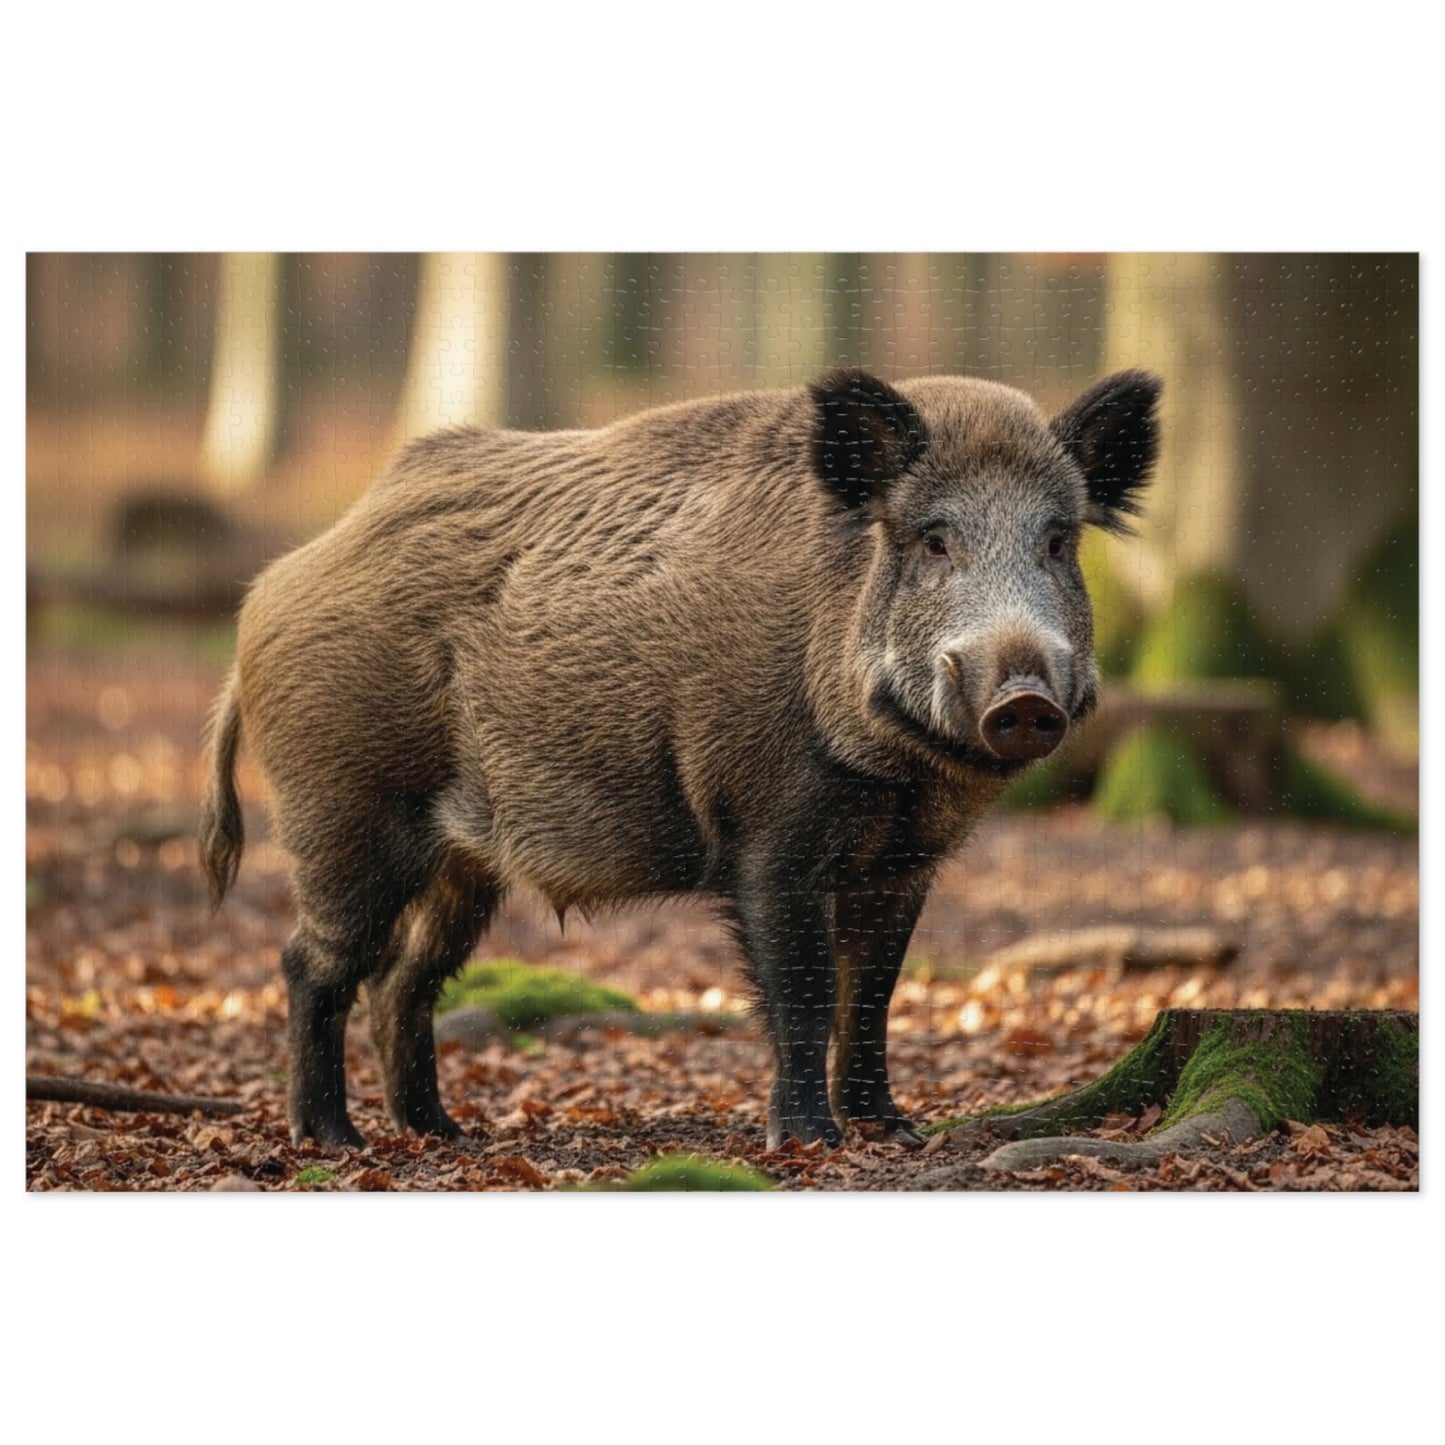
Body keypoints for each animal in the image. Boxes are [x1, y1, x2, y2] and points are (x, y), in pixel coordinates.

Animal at [201, 366, 1161, 1151]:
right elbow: (804, 992)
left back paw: (443, 1132)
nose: (1023, 698)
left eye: (1058, 540)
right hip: (343, 807)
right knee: (312, 963)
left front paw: (893, 1128)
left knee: (402, 979)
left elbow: (873, 994)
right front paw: (808, 1142)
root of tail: (265, 593)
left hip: (462, 863)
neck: (897, 775)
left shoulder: (903, 861)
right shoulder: (766, 833)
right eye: (932, 539)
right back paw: (334, 1140)